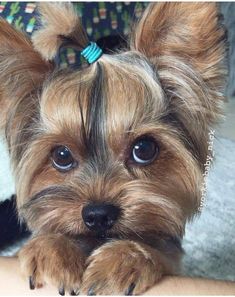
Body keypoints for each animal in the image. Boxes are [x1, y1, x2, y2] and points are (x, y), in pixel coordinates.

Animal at [0, 1, 228, 294]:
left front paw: (125, 260)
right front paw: (52, 250)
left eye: (144, 149)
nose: (98, 215)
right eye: (61, 155)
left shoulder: (173, 260)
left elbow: (159, 252)